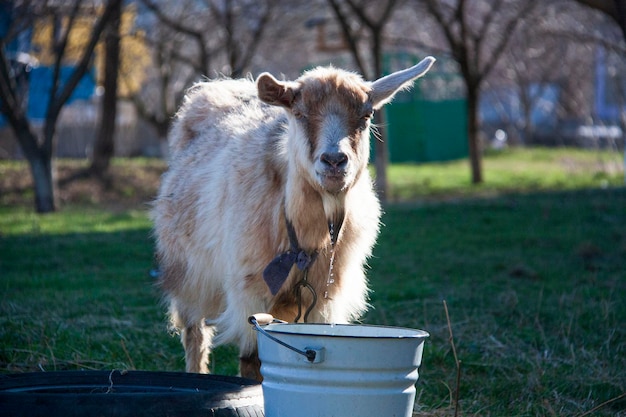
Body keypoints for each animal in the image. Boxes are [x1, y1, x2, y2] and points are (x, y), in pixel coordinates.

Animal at [151, 56, 434, 380]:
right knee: (194, 333)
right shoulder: (250, 290)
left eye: (367, 115)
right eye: (299, 113)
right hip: (188, 273)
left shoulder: (323, 298)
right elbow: (252, 362)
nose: (334, 161)